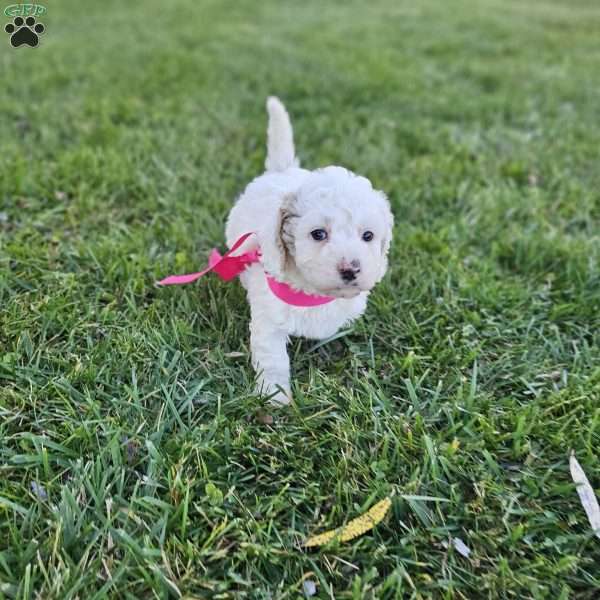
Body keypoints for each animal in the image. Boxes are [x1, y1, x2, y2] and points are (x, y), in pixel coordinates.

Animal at [226, 98, 394, 406]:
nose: (351, 269)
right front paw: (275, 397)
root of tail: (282, 169)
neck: (313, 293)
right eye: (318, 234)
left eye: (368, 236)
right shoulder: (269, 321)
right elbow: (274, 359)